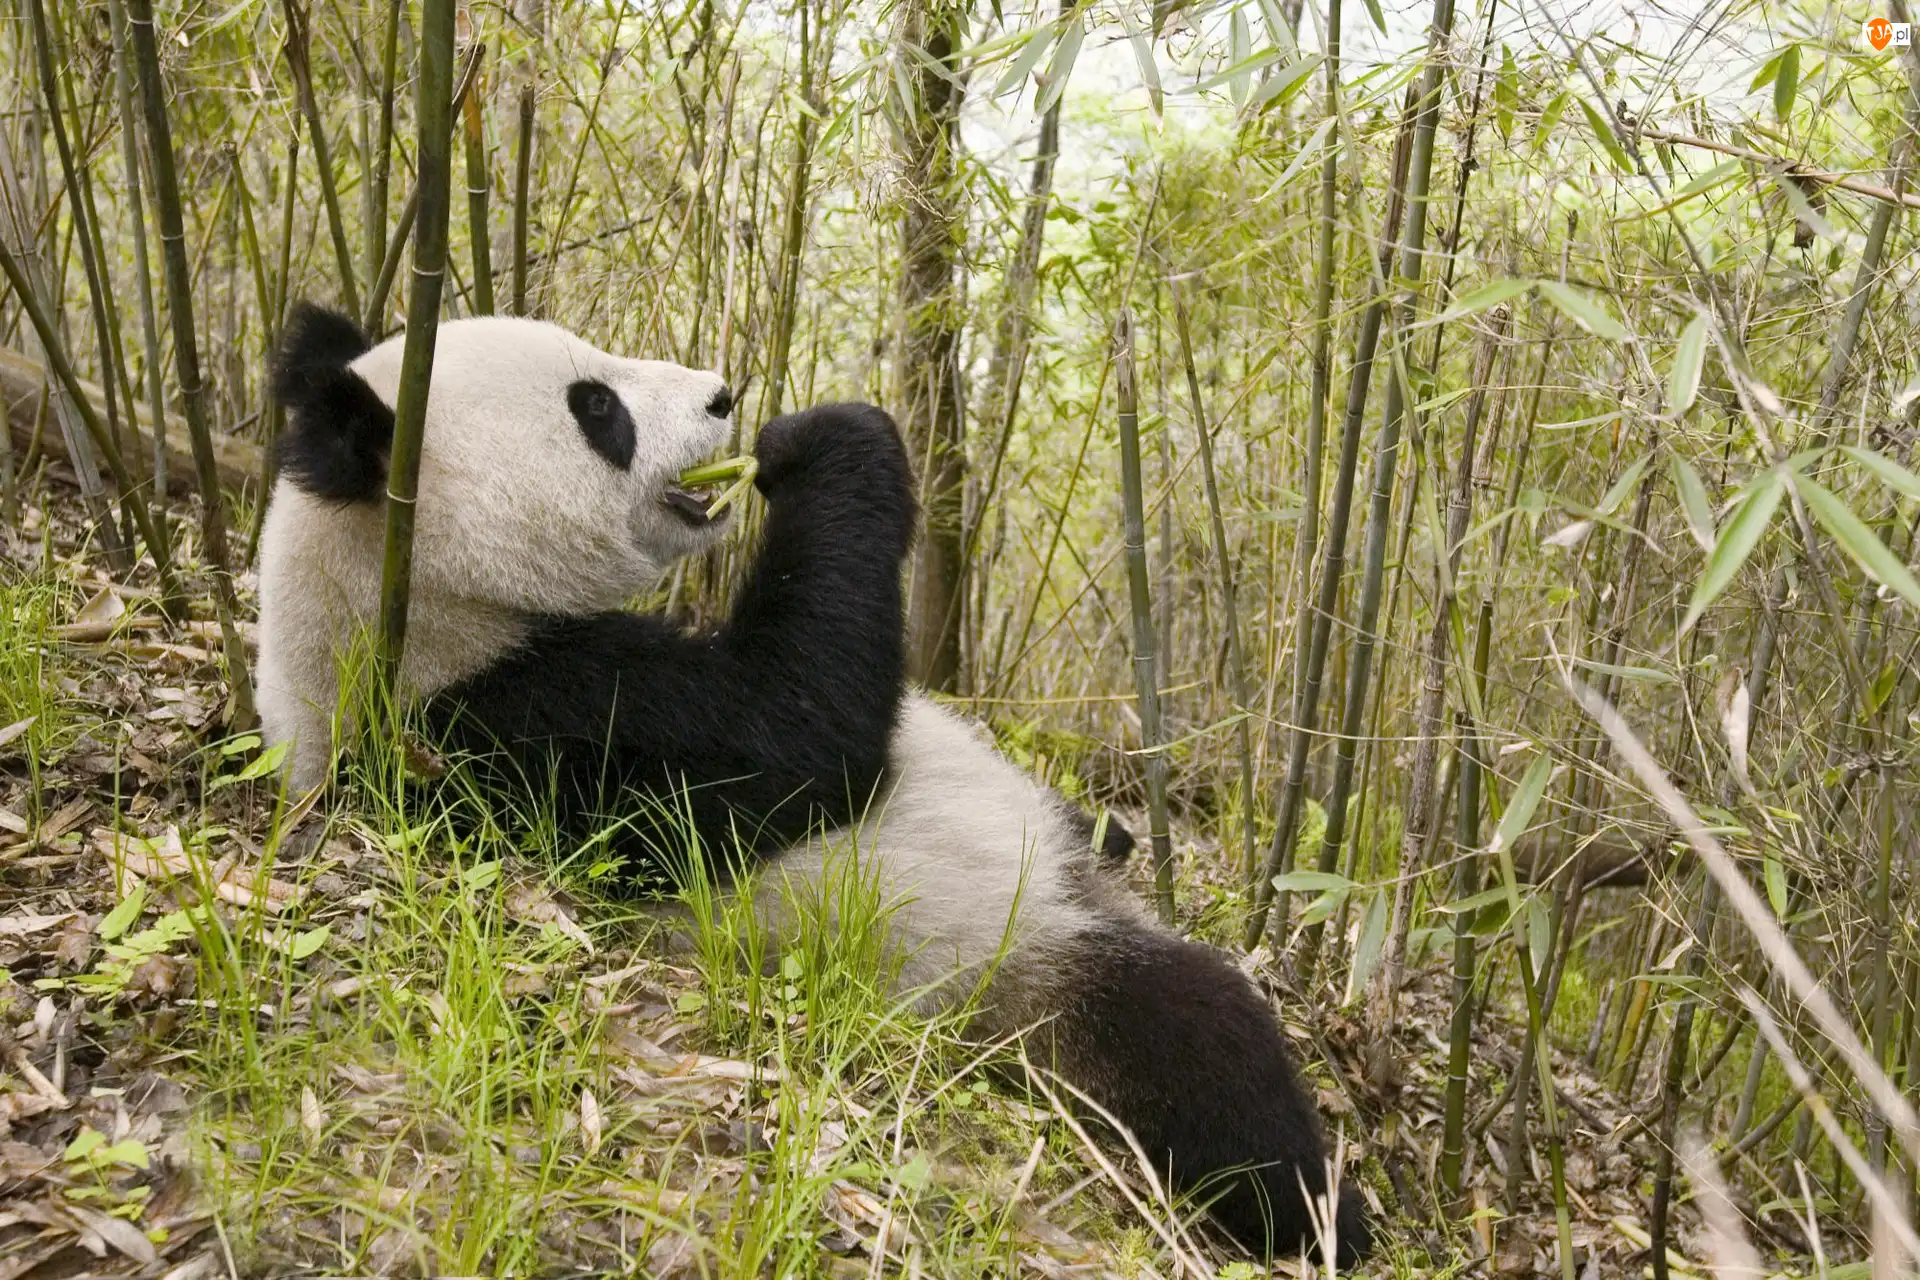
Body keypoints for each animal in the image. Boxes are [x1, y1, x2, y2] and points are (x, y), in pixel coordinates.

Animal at [257, 302, 1372, 1266]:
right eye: (596, 407)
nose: (723, 395)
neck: (406, 605)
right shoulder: (522, 727)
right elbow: (798, 733)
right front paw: (825, 441)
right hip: (1017, 969)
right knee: (1199, 1044)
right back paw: (1327, 1214)